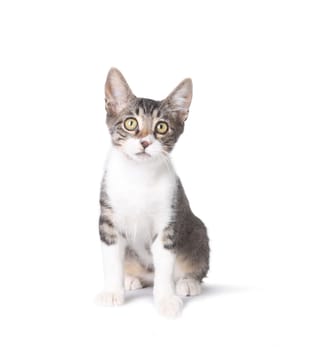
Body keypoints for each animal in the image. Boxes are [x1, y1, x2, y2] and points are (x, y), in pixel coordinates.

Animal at [97, 67, 209, 318]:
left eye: (161, 127)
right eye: (130, 123)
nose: (145, 142)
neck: (139, 175)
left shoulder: (168, 217)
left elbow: (165, 262)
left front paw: (166, 299)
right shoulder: (108, 218)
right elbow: (111, 257)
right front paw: (112, 292)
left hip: (198, 231)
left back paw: (188, 282)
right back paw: (132, 279)